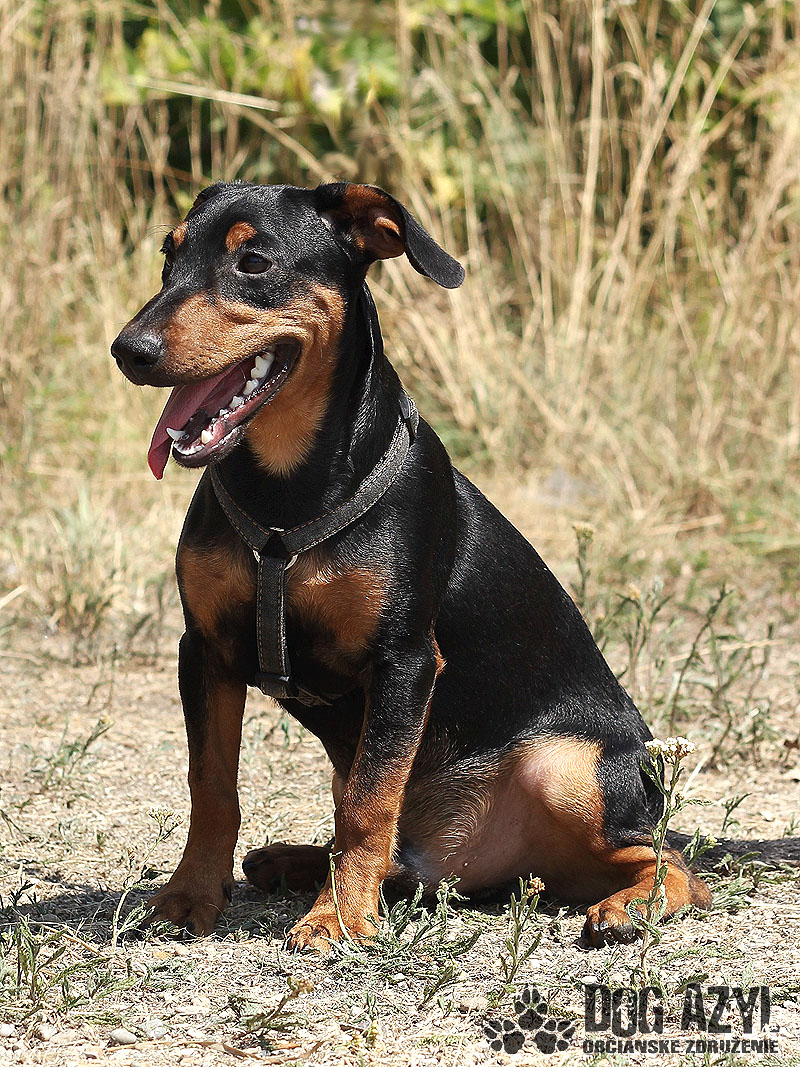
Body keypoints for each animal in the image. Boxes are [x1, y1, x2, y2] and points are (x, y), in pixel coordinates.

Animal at [111, 180, 710, 951]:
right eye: (168, 254)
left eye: (254, 261)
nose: (129, 350)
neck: (286, 492)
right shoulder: (205, 649)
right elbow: (212, 787)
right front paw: (188, 898)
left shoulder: (404, 660)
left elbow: (369, 804)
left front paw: (338, 919)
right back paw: (295, 862)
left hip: (566, 767)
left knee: (673, 860)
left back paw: (626, 906)